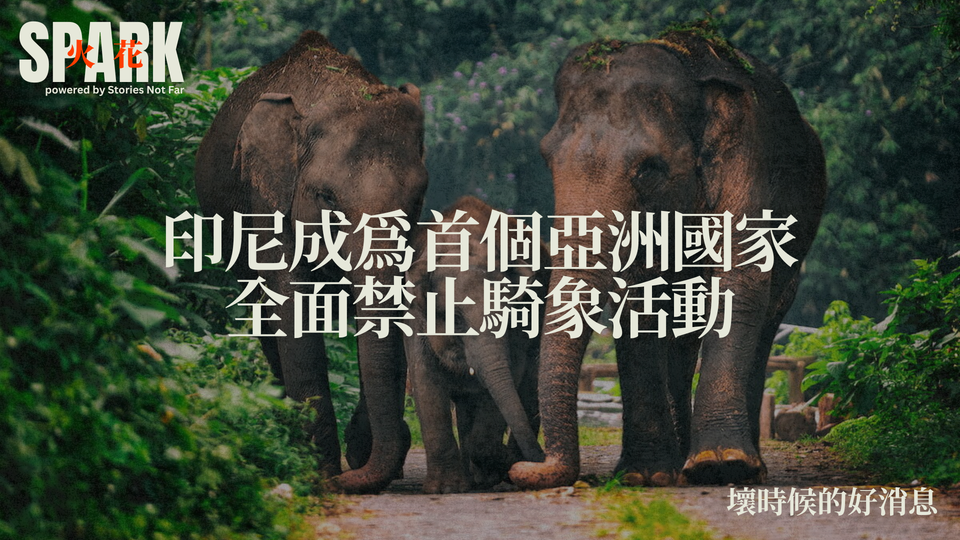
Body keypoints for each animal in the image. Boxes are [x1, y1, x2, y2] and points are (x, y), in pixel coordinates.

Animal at [193, 31, 428, 494]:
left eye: (416, 199)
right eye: (327, 198)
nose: (349, 479)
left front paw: (359, 458)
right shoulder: (266, 200)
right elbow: (293, 312)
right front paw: (322, 472)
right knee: (264, 319)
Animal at [405, 196, 547, 493]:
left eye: (509, 312)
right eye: (456, 319)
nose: (542, 459)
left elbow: (508, 377)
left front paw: (495, 467)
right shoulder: (414, 314)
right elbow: (425, 380)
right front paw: (446, 489)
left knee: (529, 385)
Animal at [509, 27, 827, 489]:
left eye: (650, 168)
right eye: (546, 159)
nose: (524, 467)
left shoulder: (746, 154)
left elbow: (741, 276)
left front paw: (721, 464)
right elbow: (639, 295)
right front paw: (646, 475)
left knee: (766, 320)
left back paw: (745, 465)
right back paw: (678, 466)